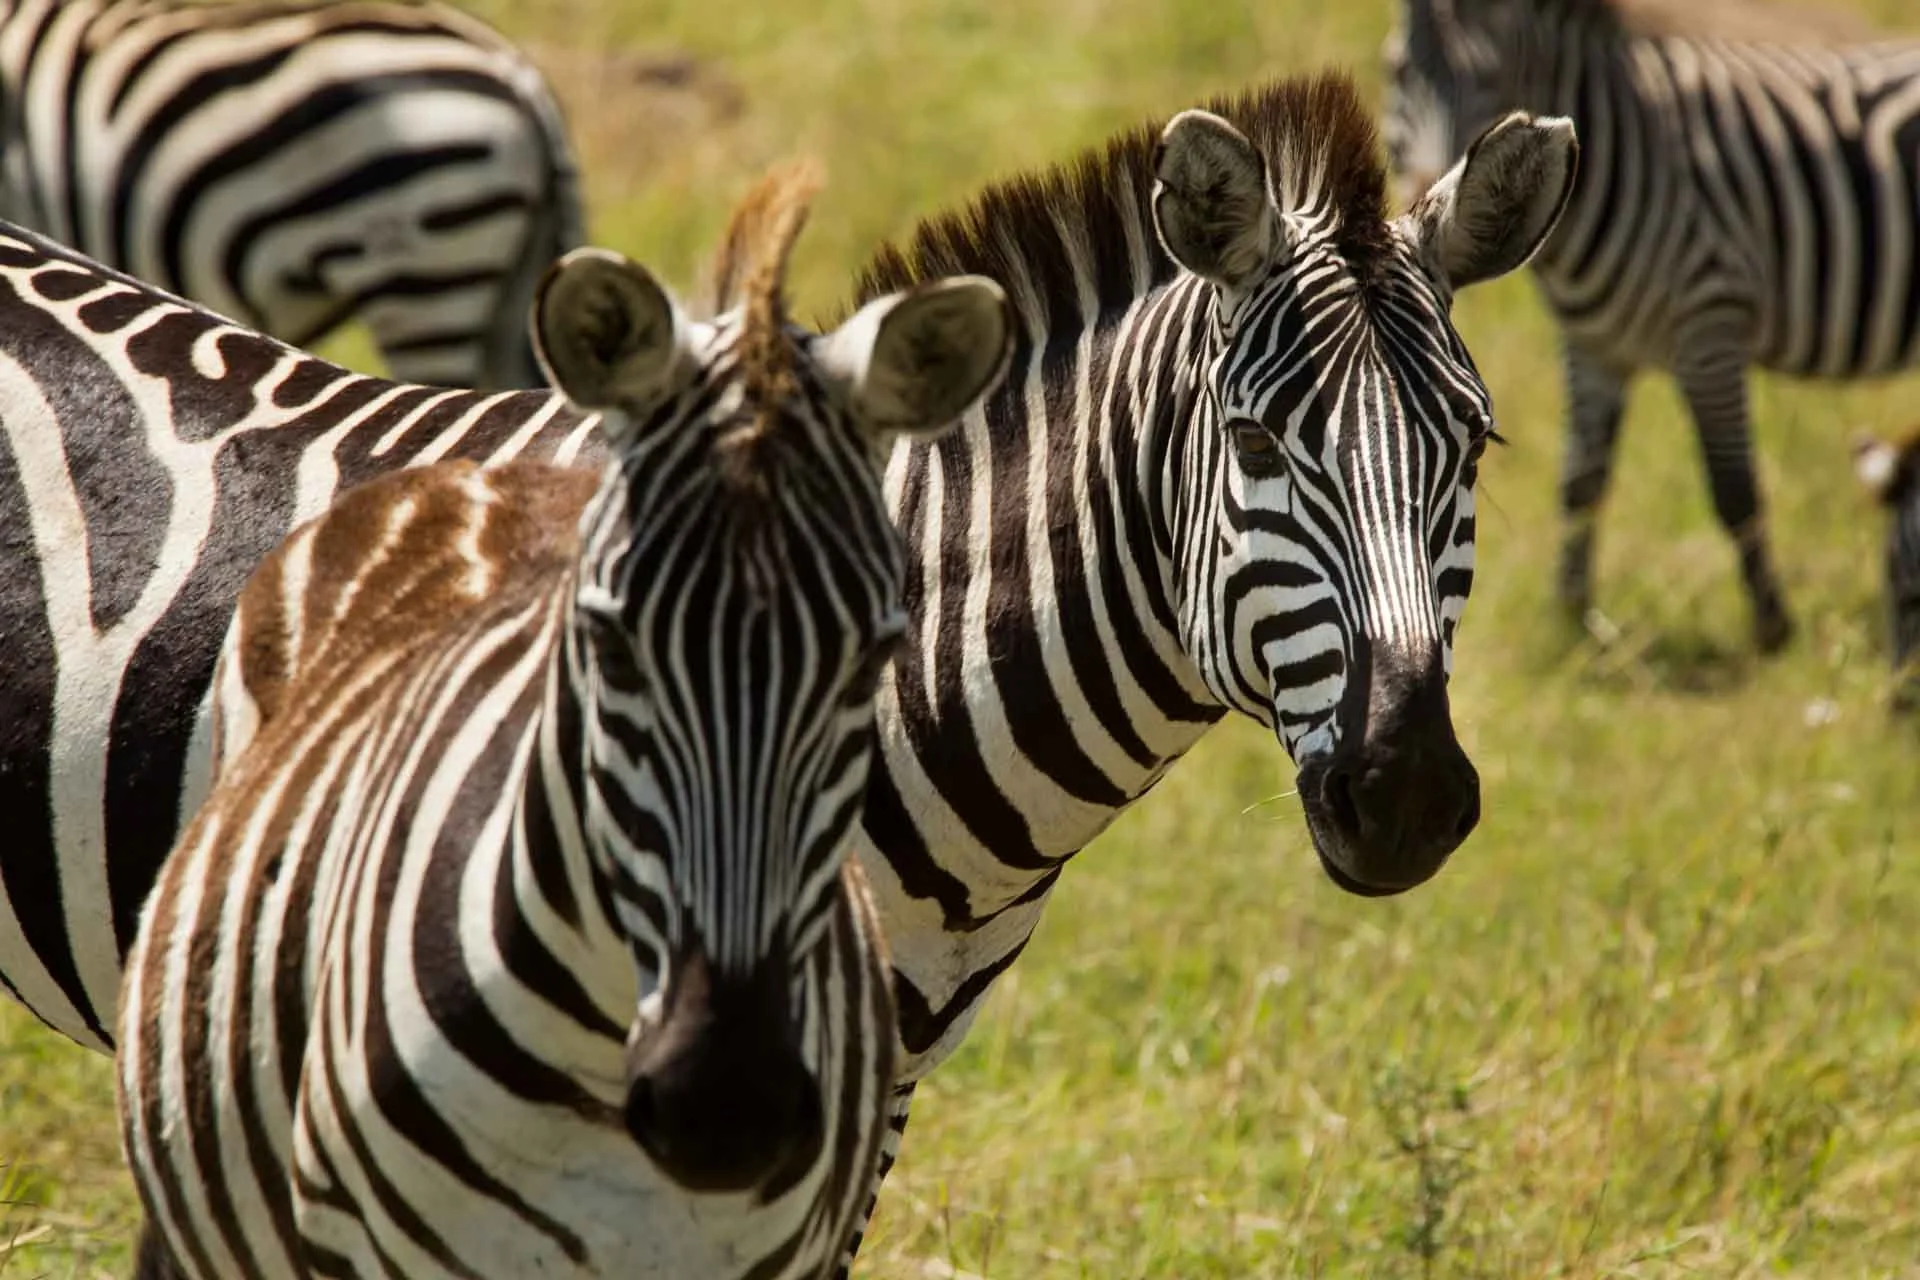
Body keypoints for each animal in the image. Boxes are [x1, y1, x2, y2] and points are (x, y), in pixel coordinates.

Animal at [1381, 0, 1920, 652]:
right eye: (1398, 71)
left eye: (1489, 78)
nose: (1422, 201)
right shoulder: (1593, 346)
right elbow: (1580, 482)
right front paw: (1572, 618)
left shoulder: (1709, 322)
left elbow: (1733, 487)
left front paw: (1773, 630)